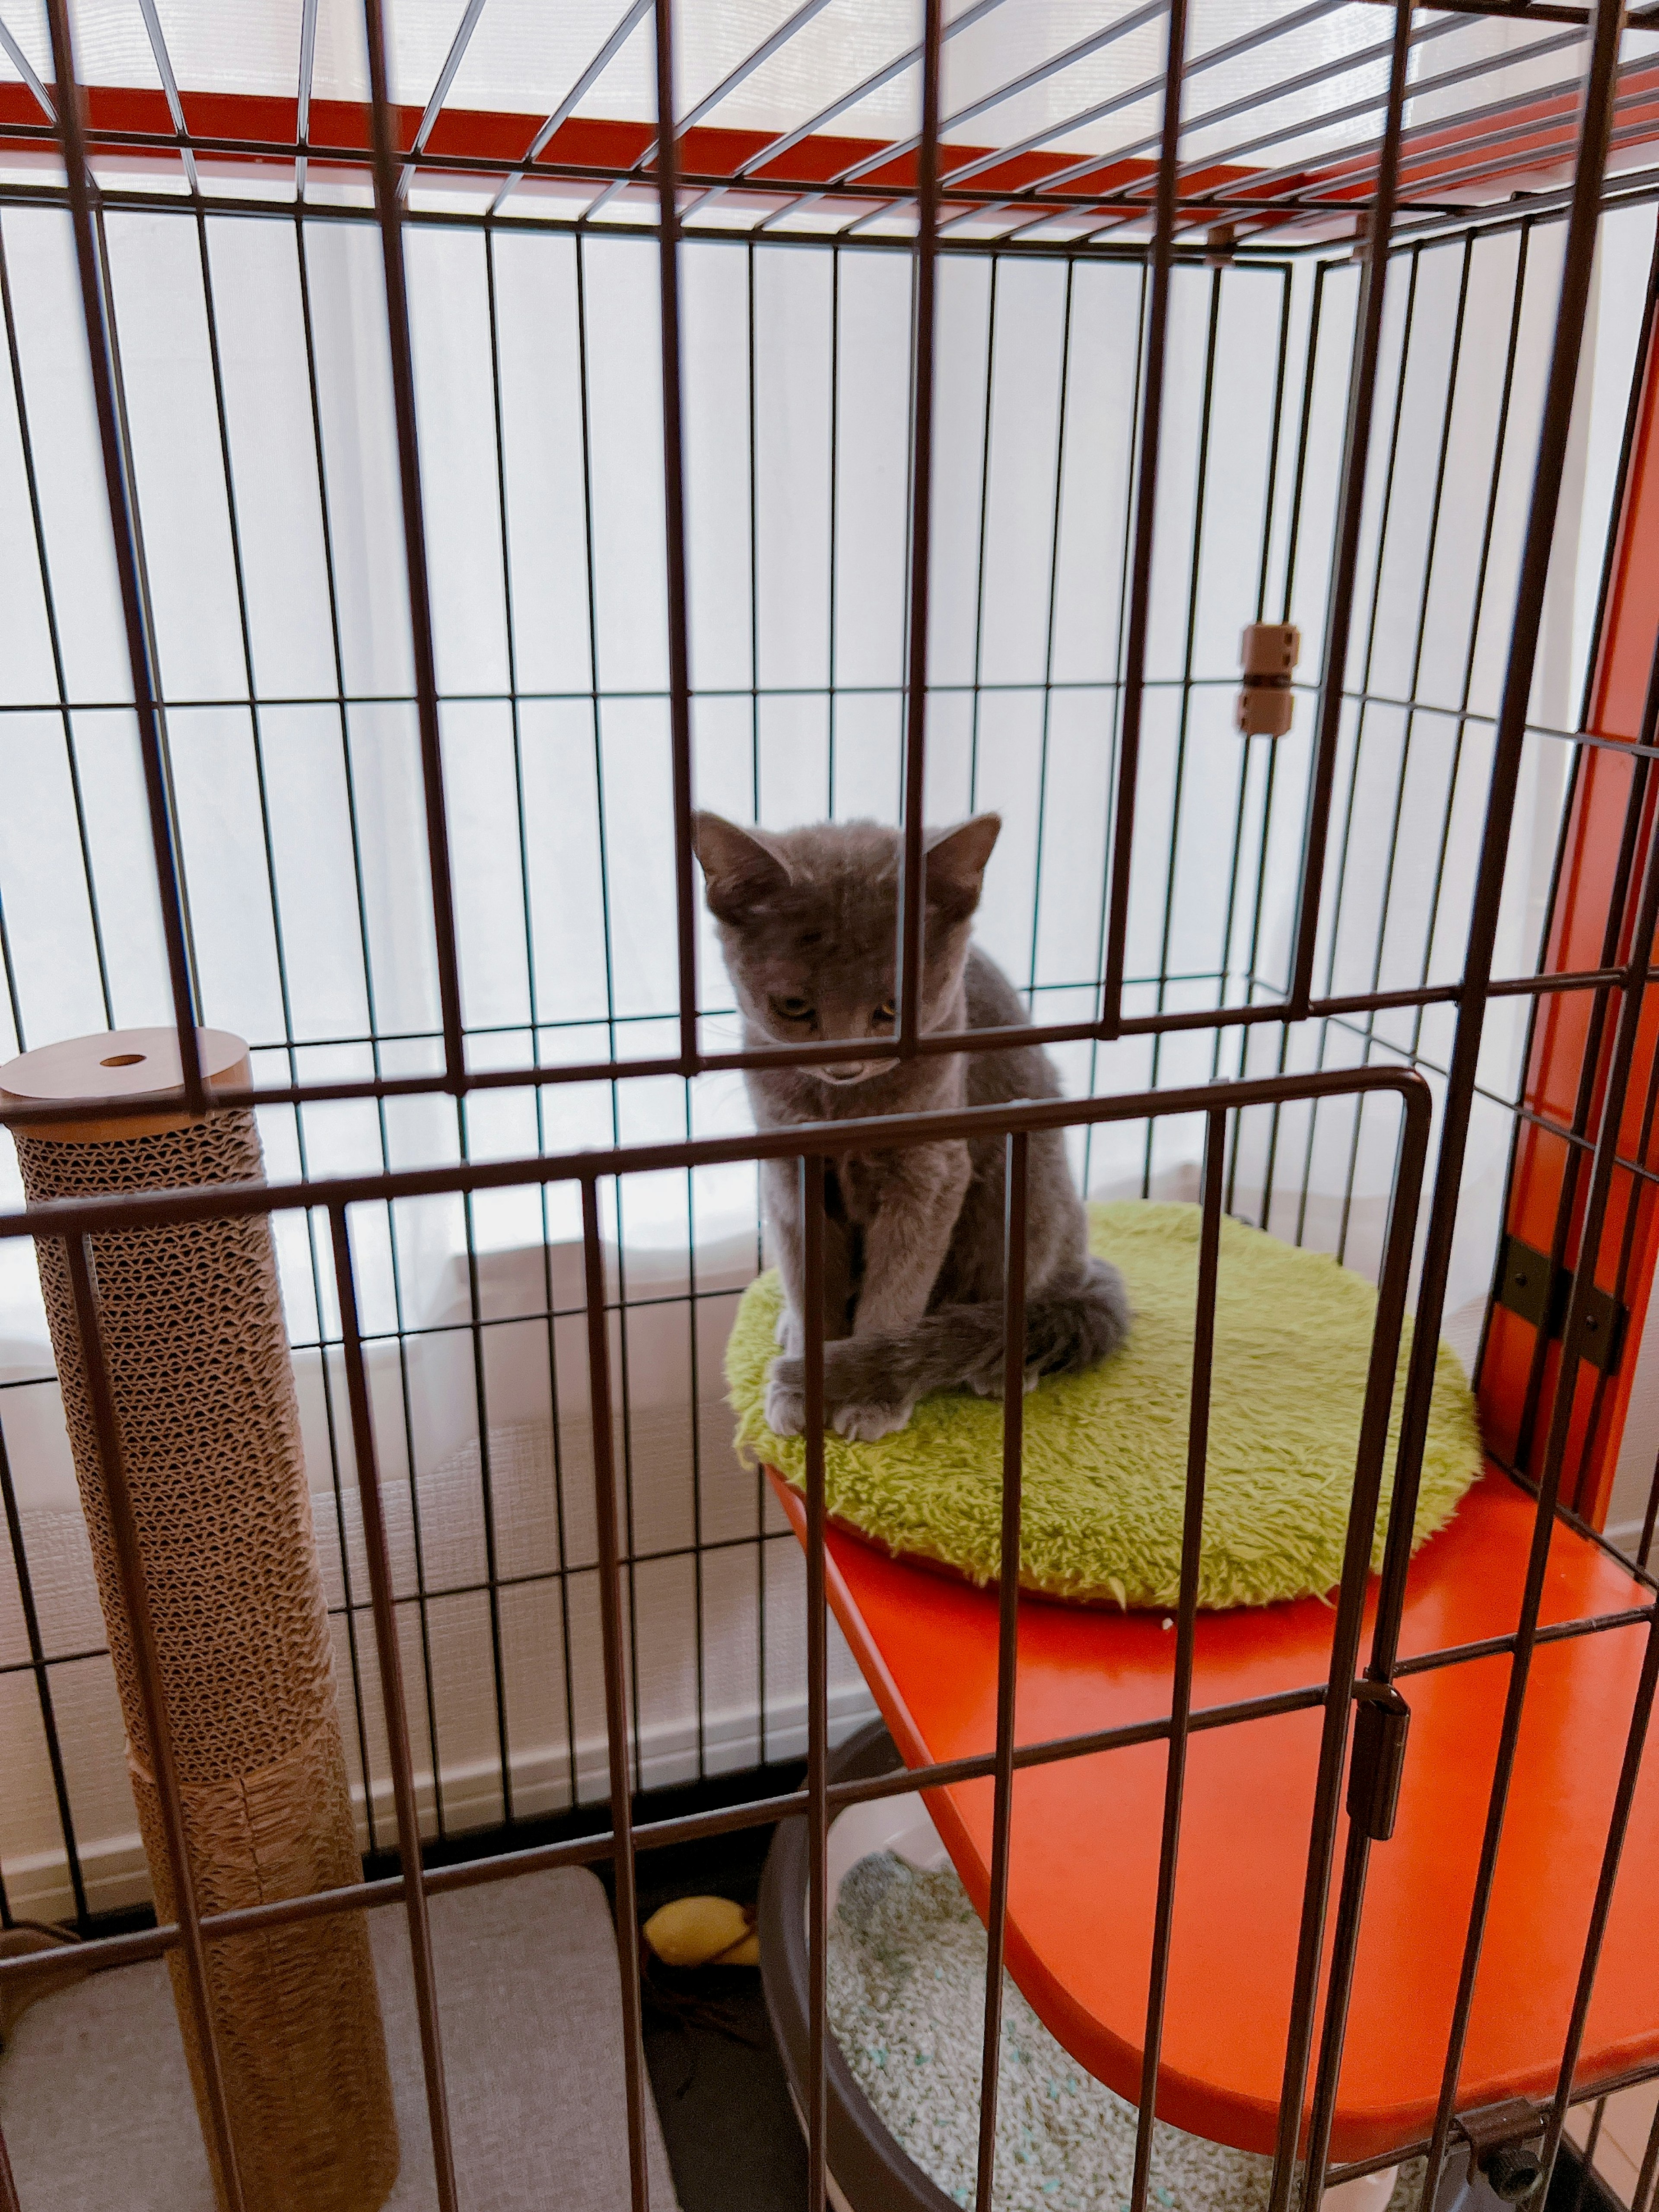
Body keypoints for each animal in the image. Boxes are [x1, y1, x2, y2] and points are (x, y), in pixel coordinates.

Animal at [690, 805, 1132, 1442]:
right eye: (793, 1007)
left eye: (894, 1010)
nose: (844, 1064)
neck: (844, 1111)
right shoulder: (788, 1171)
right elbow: (807, 1280)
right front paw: (807, 1380)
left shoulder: (930, 1171)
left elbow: (896, 1290)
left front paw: (866, 1393)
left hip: (1026, 1182)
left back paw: (1002, 1365)